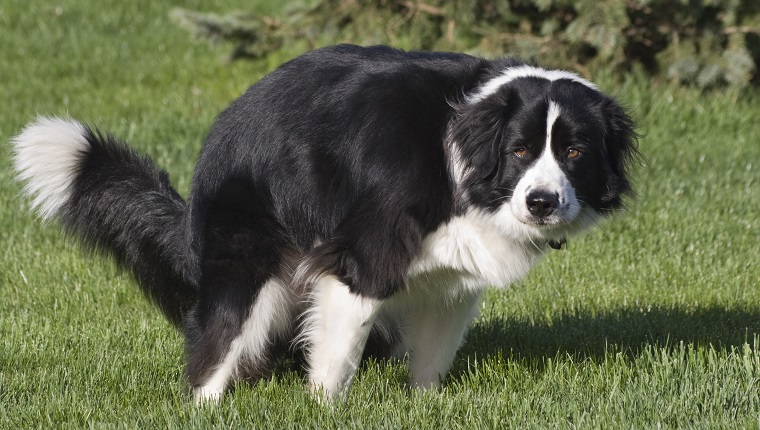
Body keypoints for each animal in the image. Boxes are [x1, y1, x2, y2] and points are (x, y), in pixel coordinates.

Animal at [13, 45, 636, 402]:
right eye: (520, 151)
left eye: (575, 152)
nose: (542, 202)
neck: (461, 153)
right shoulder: (361, 254)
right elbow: (338, 351)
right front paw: (324, 408)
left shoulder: (455, 277)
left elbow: (435, 350)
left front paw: (425, 404)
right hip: (250, 252)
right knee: (218, 338)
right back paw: (207, 405)